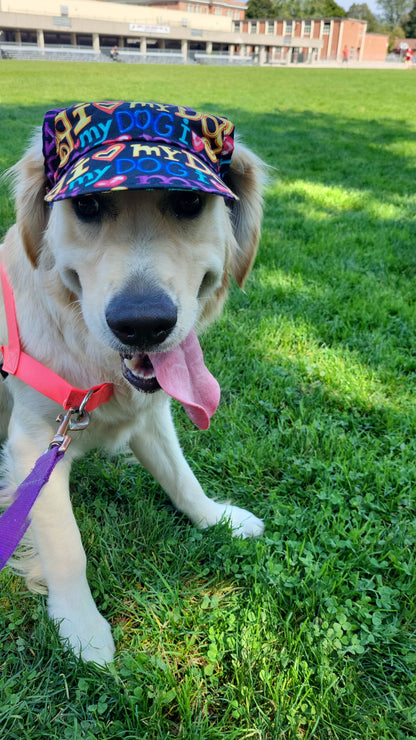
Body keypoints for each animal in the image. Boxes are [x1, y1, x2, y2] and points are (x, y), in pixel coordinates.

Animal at [0, 99, 264, 664]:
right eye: (88, 206)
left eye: (188, 201)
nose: (142, 323)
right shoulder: (36, 441)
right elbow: (66, 545)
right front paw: (81, 626)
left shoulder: (152, 416)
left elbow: (182, 478)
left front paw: (218, 518)